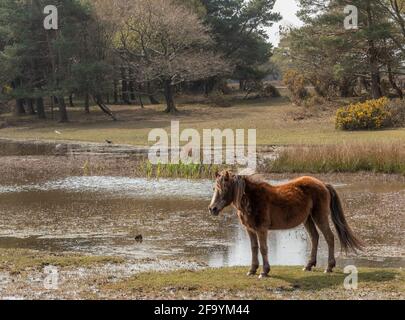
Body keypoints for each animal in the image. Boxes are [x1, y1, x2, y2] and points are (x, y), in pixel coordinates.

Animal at [208, 171, 362, 278]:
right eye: (214, 188)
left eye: (224, 188)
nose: (212, 209)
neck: (252, 199)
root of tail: (323, 184)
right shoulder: (250, 230)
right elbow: (254, 248)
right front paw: (252, 270)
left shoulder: (261, 230)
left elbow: (263, 249)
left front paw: (264, 271)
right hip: (307, 219)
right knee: (314, 237)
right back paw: (308, 265)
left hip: (320, 217)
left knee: (329, 237)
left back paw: (329, 267)